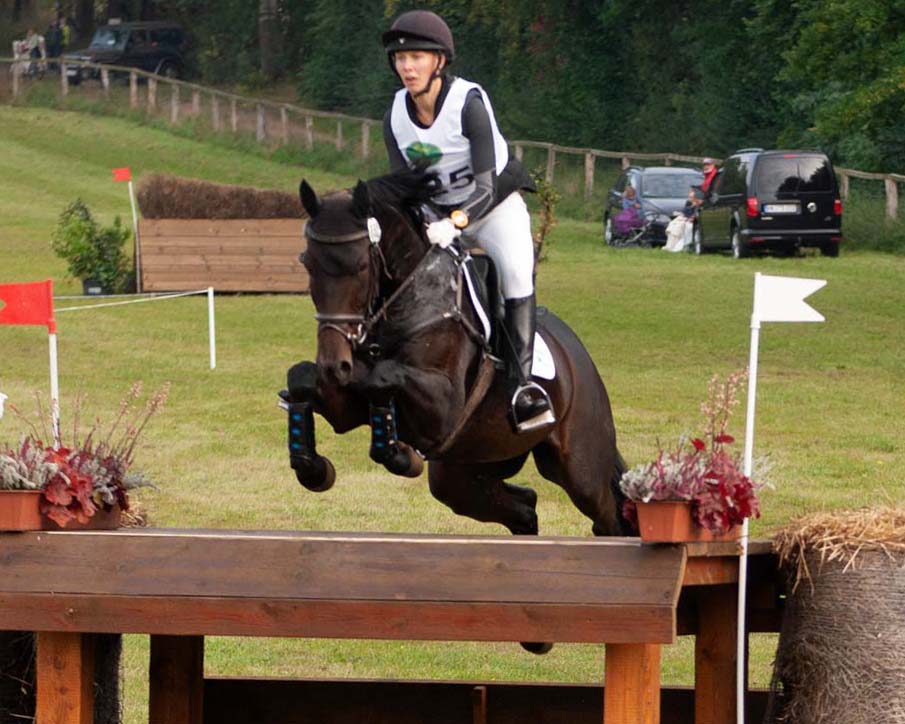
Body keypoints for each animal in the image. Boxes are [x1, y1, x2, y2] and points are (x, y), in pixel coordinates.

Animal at [286, 171, 624, 536]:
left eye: (362, 266)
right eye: (307, 264)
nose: (335, 365)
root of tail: (578, 356)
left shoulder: (442, 411)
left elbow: (383, 377)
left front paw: (400, 455)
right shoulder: (348, 406)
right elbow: (302, 378)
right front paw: (313, 469)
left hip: (580, 469)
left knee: (608, 515)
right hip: (465, 471)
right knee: (524, 507)